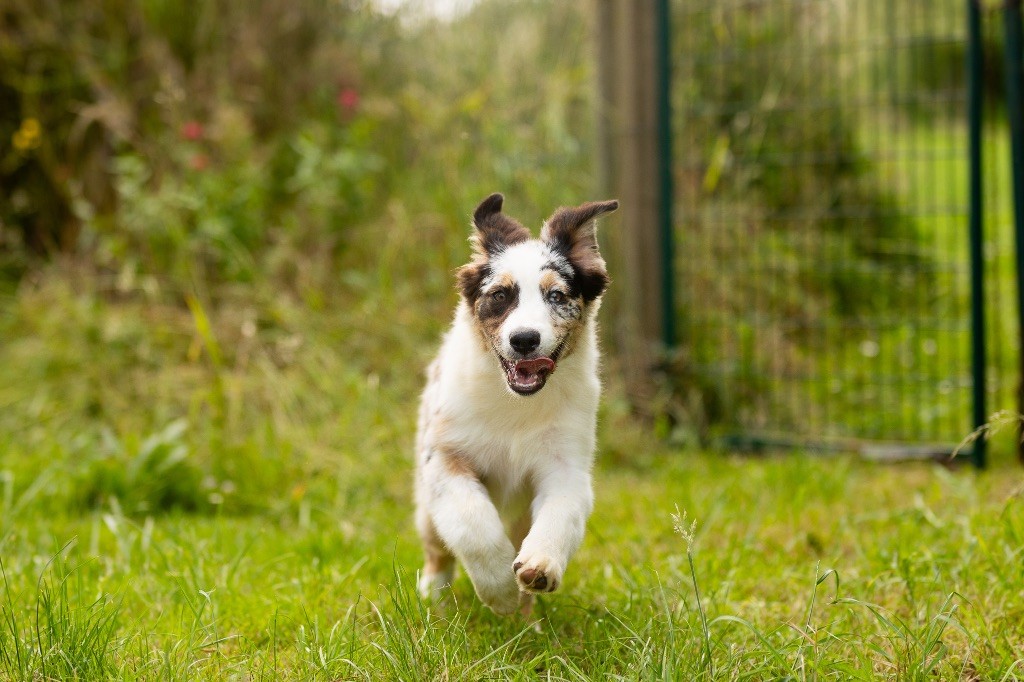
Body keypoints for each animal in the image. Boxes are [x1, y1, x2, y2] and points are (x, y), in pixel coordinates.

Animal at [413, 192, 614, 614]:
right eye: (500, 296)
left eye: (556, 296)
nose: (524, 340)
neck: (516, 407)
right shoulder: (444, 458)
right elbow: (472, 522)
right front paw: (499, 590)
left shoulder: (566, 466)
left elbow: (560, 515)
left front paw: (538, 568)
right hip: (424, 502)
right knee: (438, 548)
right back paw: (434, 599)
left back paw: (525, 616)